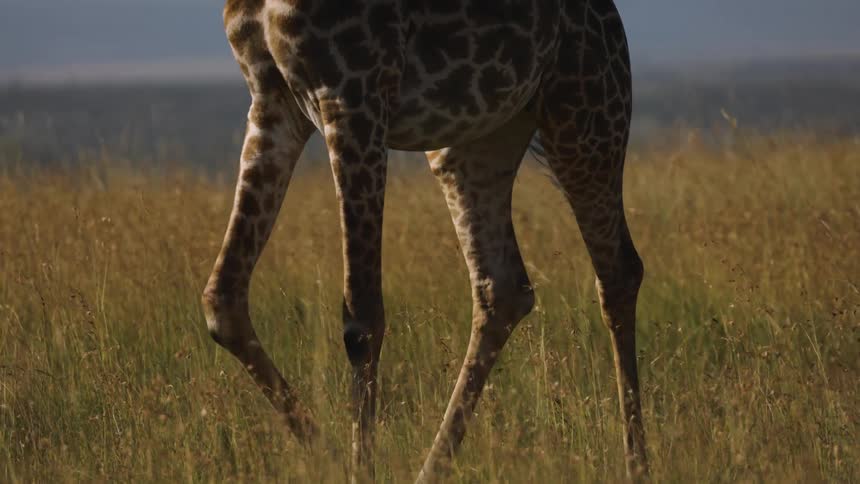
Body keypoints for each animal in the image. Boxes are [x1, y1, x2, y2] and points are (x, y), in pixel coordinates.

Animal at [202, 0, 648, 481]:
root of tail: (613, 19)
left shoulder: (353, 96)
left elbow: (361, 321)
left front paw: (361, 469)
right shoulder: (272, 101)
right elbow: (222, 301)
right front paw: (332, 459)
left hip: (585, 113)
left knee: (620, 270)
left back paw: (637, 464)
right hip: (475, 144)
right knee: (503, 289)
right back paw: (431, 469)